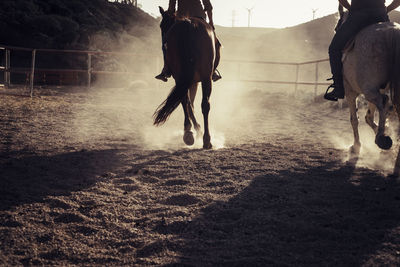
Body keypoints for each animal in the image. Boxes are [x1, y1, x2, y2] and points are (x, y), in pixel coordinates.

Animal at [153, 6, 217, 150]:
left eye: (162, 26)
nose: (163, 42)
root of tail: (189, 24)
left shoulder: (189, 81)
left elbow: (189, 103)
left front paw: (195, 129)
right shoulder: (194, 82)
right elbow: (191, 104)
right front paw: (198, 130)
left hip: (183, 77)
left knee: (185, 101)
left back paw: (189, 134)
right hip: (204, 78)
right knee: (204, 104)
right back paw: (204, 139)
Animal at [340, 11, 400, 177]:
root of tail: (392, 31)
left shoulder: (351, 91)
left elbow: (354, 119)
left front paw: (356, 146)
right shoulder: (376, 89)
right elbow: (368, 117)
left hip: (368, 88)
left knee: (384, 102)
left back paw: (382, 139)